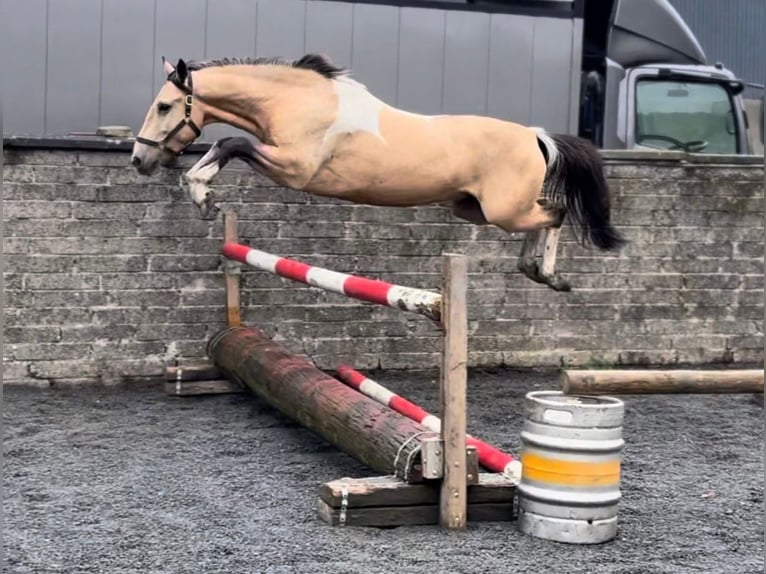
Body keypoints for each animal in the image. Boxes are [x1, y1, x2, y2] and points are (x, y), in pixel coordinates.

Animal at [130, 54, 624, 292]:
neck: (298, 101)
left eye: (164, 106)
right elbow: (225, 144)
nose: (139, 160)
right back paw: (532, 268)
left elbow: (231, 143)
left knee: (556, 214)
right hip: (475, 209)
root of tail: (535, 136)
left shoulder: (293, 169)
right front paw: (201, 192)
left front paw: (201, 194)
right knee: (544, 216)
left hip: (505, 210)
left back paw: (549, 276)